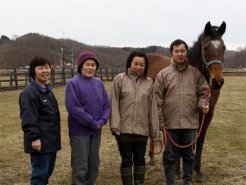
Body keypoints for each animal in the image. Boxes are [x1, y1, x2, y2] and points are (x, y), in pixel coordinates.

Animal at [147, 21, 226, 181]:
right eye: (205, 48)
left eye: (224, 48)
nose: (217, 82)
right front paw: (178, 171)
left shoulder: (208, 113)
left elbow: (198, 141)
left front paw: (197, 170)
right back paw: (151, 157)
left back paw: (152, 158)